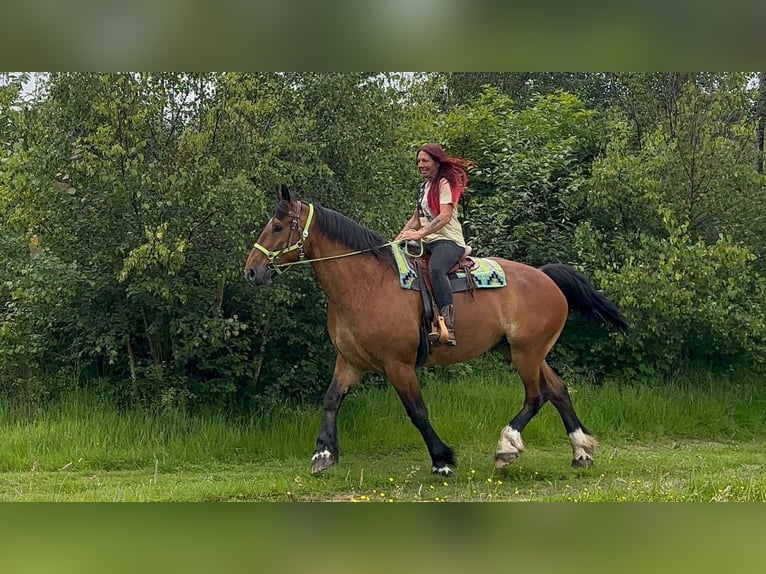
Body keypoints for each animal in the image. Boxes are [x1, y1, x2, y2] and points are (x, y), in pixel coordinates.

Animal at [244, 185, 628, 477]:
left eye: (277, 226)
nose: (251, 270)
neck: (366, 285)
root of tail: (546, 277)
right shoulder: (350, 361)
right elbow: (331, 400)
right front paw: (323, 455)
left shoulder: (398, 366)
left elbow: (417, 412)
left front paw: (442, 460)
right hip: (522, 350)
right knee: (558, 390)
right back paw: (580, 452)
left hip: (526, 353)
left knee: (537, 396)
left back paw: (506, 447)